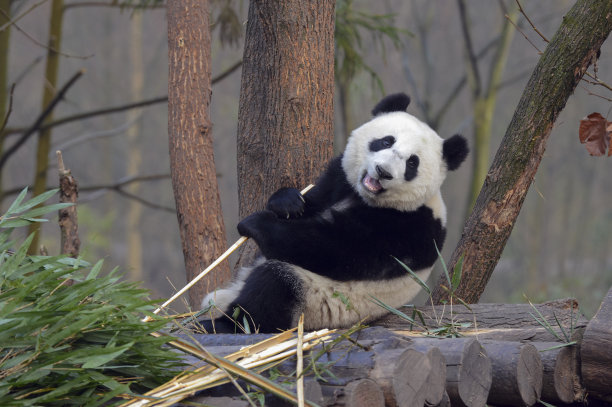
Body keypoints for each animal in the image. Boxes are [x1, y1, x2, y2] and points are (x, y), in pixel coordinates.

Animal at [201, 93, 468, 334]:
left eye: (412, 163)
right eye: (386, 141)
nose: (383, 172)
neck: (364, 197)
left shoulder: (407, 227)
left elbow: (332, 248)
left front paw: (256, 222)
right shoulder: (339, 179)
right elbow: (312, 204)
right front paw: (287, 202)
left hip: (317, 301)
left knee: (273, 286)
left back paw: (221, 325)